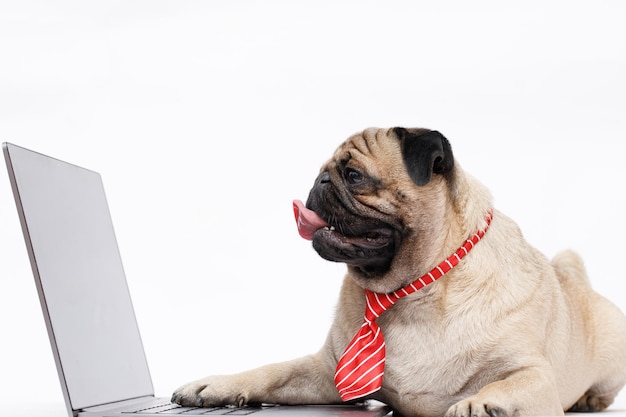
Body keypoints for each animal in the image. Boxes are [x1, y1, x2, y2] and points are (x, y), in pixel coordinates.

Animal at [171, 128, 624, 414]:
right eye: (322, 172)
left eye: (354, 176)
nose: (319, 182)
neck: (413, 291)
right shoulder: (326, 372)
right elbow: (270, 370)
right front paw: (214, 386)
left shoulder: (532, 375)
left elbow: (506, 383)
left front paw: (481, 402)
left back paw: (587, 400)